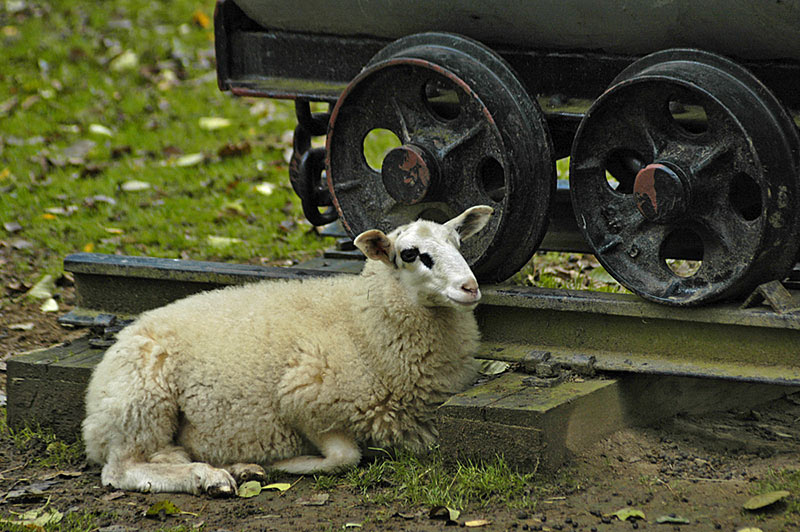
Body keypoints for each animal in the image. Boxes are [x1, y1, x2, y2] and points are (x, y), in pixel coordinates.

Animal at [81, 206, 494, 496]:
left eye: (459, 243)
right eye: (410, 254)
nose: (470, 287)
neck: (363, 323)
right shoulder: (303, 395)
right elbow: (344, 458)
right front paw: (286, 463)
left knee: (161, 455)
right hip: (142, 401)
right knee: (121, 470)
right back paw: (209, 477)